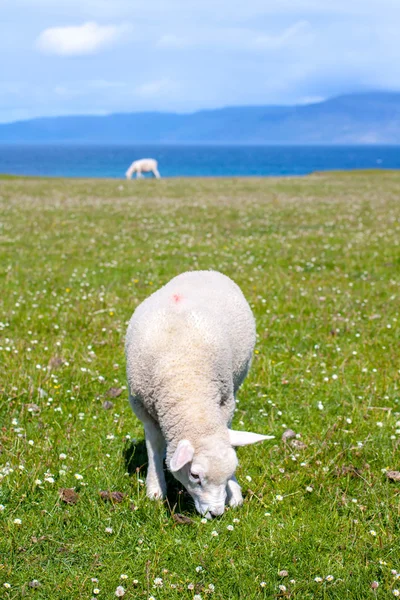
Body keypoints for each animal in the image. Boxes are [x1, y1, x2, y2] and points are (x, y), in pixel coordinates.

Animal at [126, 270, 276, 516]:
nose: (216, 514)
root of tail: (203, 271)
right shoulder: (144, 409)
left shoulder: (224, 402)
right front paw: (155, 489)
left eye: (231, 470)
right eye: (194, 475)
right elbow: (154, 447)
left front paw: (234, 492)